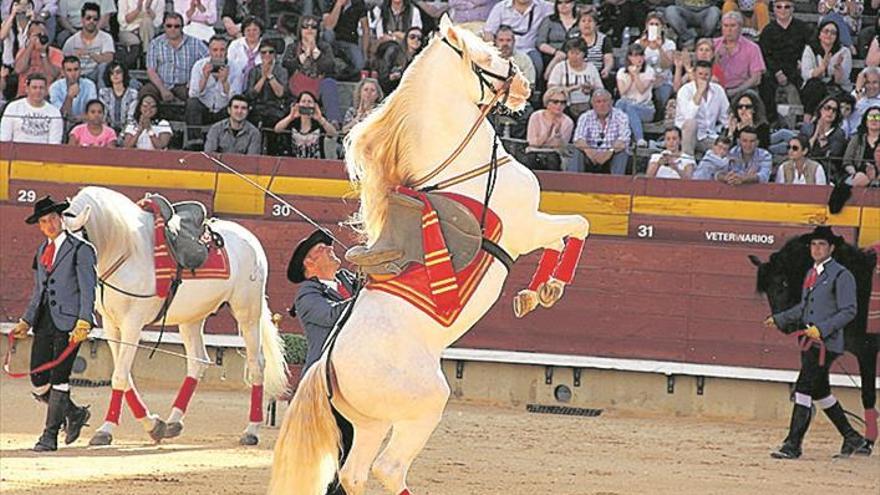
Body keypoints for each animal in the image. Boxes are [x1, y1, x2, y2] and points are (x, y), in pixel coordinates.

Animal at [62, 185, 288, 446]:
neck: (125, 249)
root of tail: (250, 239)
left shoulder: (132, 325)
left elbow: (119, 376)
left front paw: (105, 430)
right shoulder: (111, 325)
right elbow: (124, 376)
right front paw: (154, 425)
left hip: (247, 312)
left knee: (256, 363)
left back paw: (251, 430)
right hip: (192, 318)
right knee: (198, 361)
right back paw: (172, 422)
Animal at [268, 16, 592, 495]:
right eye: (485, 54)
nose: (524, 86)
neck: (462, 167)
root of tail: (324, 367)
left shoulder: (531, 228)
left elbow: (561, 238)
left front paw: (536, 293)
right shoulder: (526, 226)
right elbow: (578, 226)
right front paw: (550, 286)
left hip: (368, 422)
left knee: (353, 473)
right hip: (424, 404)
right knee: (388, 469)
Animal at [748, 234, 880, 452]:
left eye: (784, 283)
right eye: (766, 290)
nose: (787, 326)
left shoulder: (867, 352)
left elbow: (867, 395)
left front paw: (866, 443)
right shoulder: (824, 352)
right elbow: (815, 387)